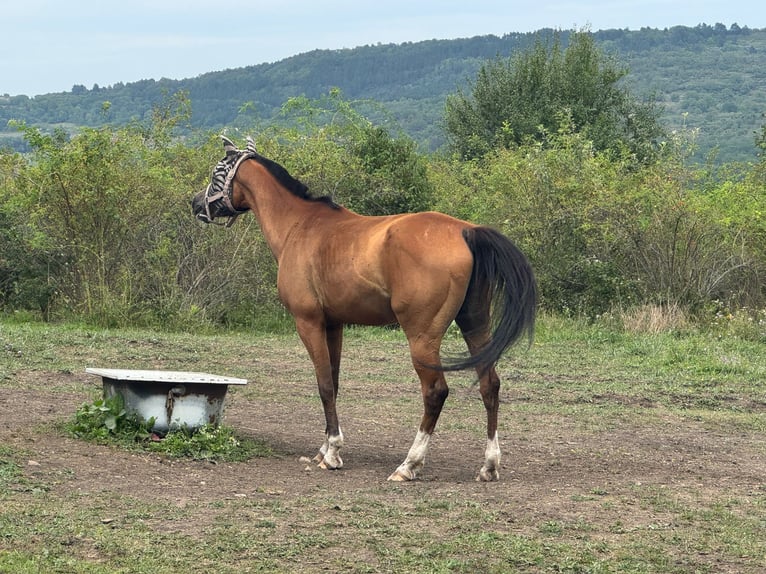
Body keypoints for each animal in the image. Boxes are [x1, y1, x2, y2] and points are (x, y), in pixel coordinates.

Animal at [192, 136, 537, 481]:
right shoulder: (334, 324)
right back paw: (489, 465)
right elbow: (334, 382)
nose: (196, 203)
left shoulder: (309, 322)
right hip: (475, 324)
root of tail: (465, 231)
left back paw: (409, 464)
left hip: (422, 337)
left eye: (217, 172)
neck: (301, 225)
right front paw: (324, 449)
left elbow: (324, 385)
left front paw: (333, 452)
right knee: (489, 384)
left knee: (436, 391)